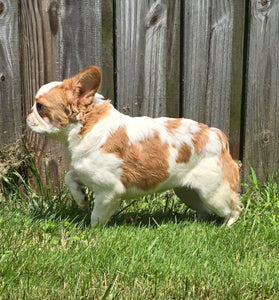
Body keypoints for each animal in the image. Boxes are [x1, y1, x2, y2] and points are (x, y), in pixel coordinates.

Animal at [27, 65, 243, 225]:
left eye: (40, 107)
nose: (28, 115)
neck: (87, 127)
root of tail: (218, 135)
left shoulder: (108, 191)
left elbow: (97, 217)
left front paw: (93, 232)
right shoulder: (86, 172)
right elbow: (69, 176)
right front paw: (80, 199)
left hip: (214, 193)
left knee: (234, 209)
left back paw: (226, 227)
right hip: (188, 192)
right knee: (205, 211)